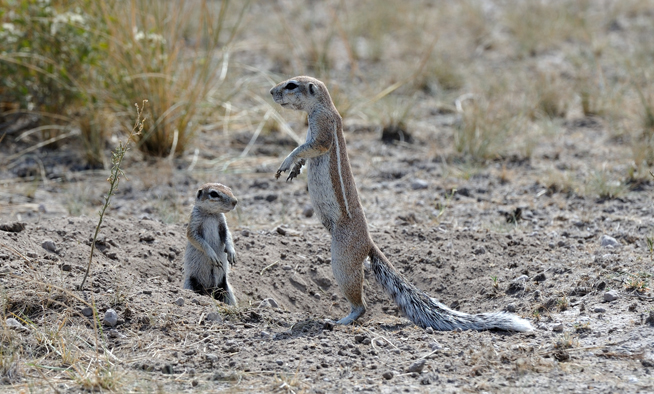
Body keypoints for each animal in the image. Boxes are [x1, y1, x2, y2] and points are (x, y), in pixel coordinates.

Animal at [272, 75, 532, 330]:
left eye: (291, 85)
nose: (272, 92)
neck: (323, 107)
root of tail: (368, 242)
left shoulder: (323, 126)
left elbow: (312, 146)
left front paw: (287, 161)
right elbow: (305, 150)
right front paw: (294, 169)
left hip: (343, 259)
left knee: (360, 304)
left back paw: (341, 320)